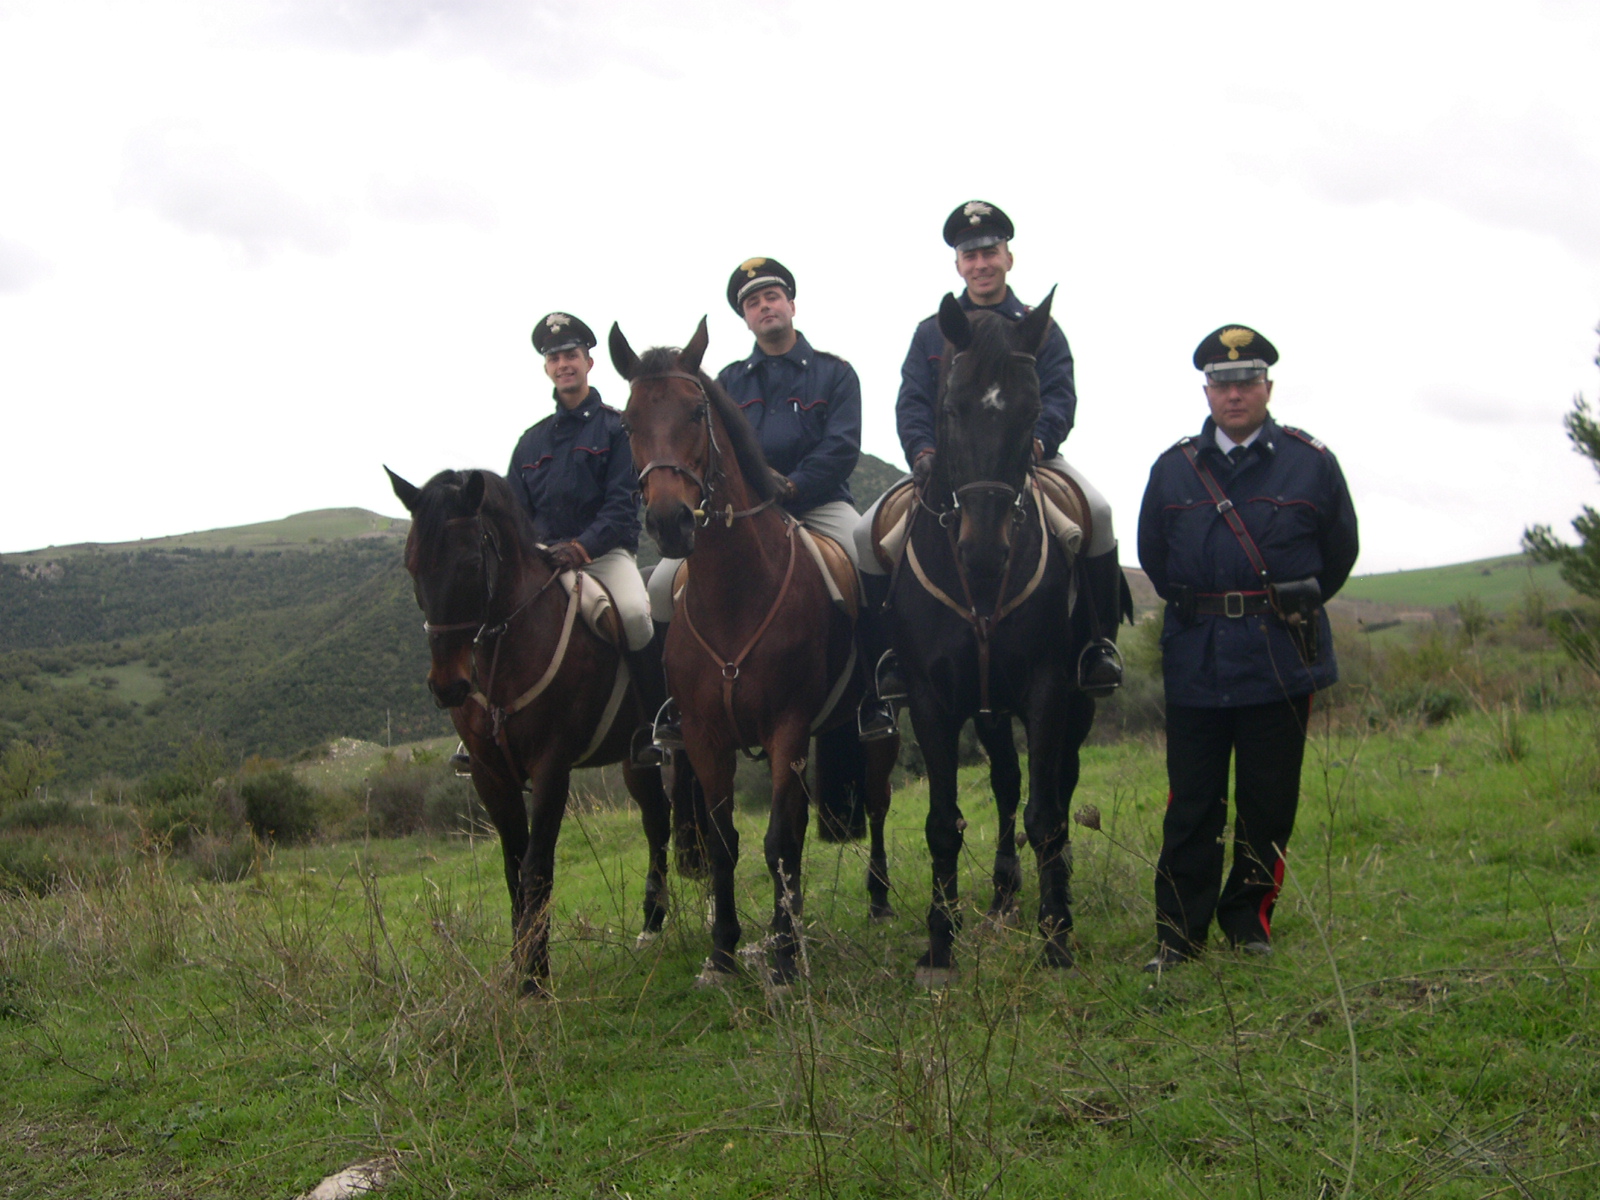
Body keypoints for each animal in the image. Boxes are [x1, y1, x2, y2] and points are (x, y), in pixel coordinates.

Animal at [390, 467, 672, 998]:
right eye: (411, 563)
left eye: (470, 561)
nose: (447, 686)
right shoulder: (490, 775)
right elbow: (512, 871)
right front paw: (519, 965)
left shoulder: (551, 768)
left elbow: (536, 869)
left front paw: (534, 979)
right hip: (634, 759)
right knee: (657, 818)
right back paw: (651, 923)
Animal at [604, 320, 902, 985]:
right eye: (628, 422)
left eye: (696, 411)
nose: (669, 521)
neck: (736, 592)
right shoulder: (707, 737)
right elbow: (727, 844)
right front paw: (723, 950)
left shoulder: (786, 728)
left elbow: (777, 842)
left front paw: (785, 956)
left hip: (877, 728)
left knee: (875, 805)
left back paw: (877, 901)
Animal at [889, 294, 1100, 985]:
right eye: (951, 408)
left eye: (1032, 412)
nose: (983, 549)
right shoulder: (931, 700)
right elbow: (942, 823)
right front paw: (939, 943)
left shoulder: (1048, 688)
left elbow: (1045, 813)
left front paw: (1057, 936)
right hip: (987, 708)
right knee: (1007, 782)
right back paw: (1005, 893)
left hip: (1076, 701)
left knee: (1057, 787)